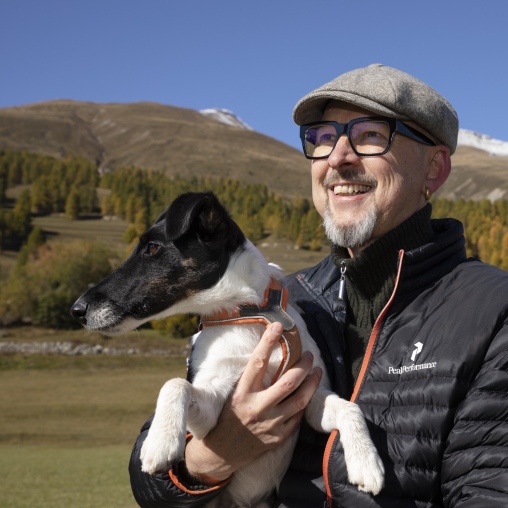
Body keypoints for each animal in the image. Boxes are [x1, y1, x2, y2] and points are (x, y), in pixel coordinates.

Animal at [70, 191, 380, 508]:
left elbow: (350, 407)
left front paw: (367, 462)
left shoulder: (309, 396)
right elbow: (175, 383)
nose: (77, 310)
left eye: (153, 248)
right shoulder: (212, 413)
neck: (250, 314)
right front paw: (161, 441)